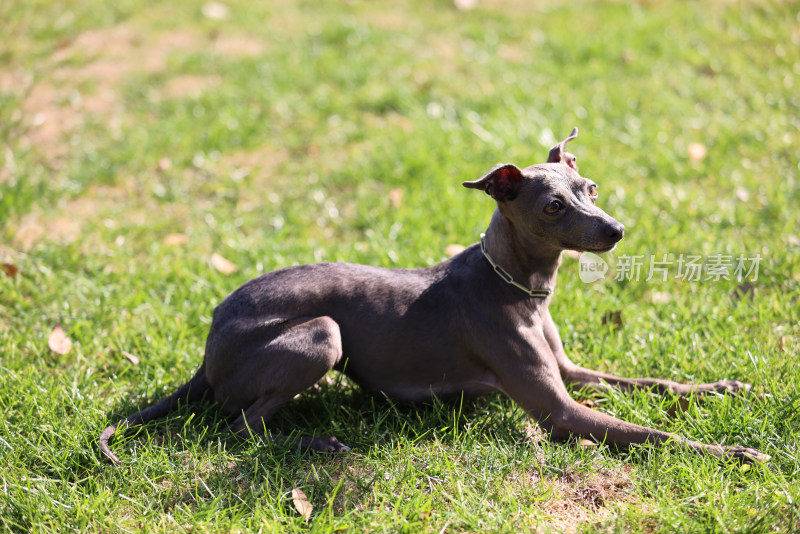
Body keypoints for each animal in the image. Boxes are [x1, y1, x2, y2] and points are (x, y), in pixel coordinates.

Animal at [100, 129, 768, 464]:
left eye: (591, 188)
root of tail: (209, 344)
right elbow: (657, 434)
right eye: (553, 205)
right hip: (321, 333)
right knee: (239, 426)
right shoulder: (559, 411)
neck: (518, 289)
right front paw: (735, 449)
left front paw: (725, 388)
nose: (616, 230)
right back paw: (314, 441)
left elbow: (655, 383)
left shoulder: (571, 371)